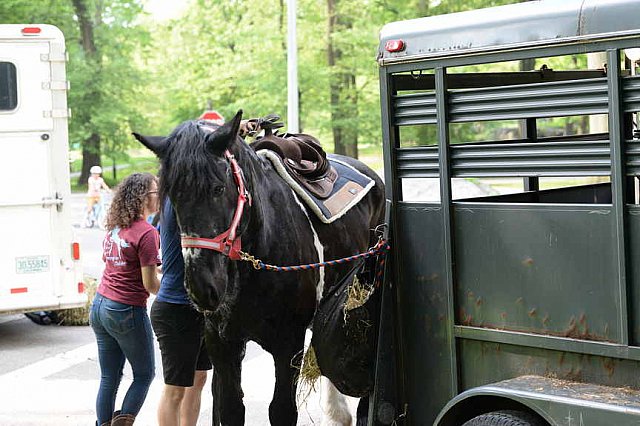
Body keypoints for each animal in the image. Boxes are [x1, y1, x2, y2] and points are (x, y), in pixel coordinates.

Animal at [135, 110, 384, 426]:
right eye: (173, 196)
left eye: (218, 188)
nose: (203, 288)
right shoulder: (222, 344)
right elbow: (229, 408)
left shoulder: (288, 344)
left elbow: (281, 411)